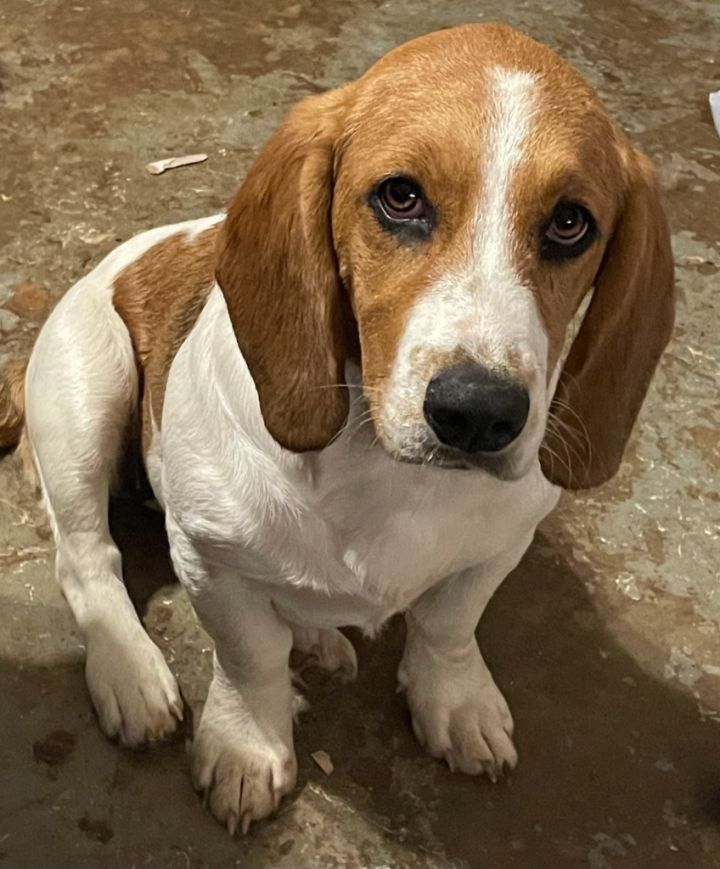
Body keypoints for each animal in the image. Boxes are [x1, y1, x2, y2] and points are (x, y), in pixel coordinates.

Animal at [0, 23, 676, 832]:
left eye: (571, 222)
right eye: (401, 196)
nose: (479, 412)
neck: (381, 464)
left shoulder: (498, 547)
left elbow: (449, 626)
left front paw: (455, 698)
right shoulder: (208, 556)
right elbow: (249, 657)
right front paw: (248, 743)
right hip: (86, 388)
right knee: (87, 559)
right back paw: (130, 673)